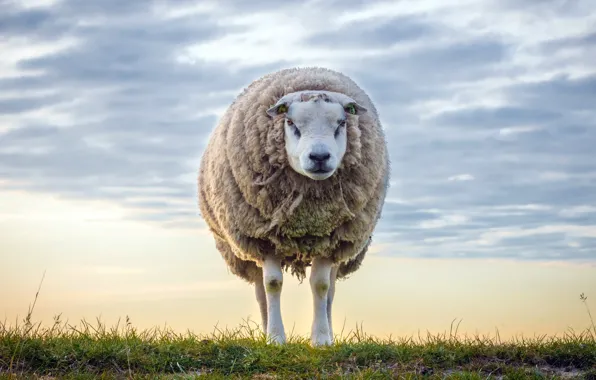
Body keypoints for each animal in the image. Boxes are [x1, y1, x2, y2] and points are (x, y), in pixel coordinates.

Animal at [197, 67, 392, 346]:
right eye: (291, 123)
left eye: (341, 123)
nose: (319, 157)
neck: (307, 217)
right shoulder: (263, 237)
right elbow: (272, 284)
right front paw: (275, 338)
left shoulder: (329, 238)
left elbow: (321, 286)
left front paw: (320, 339)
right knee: (260, 291)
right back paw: (266, 328)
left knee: (331, 291)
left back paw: (329, 333)